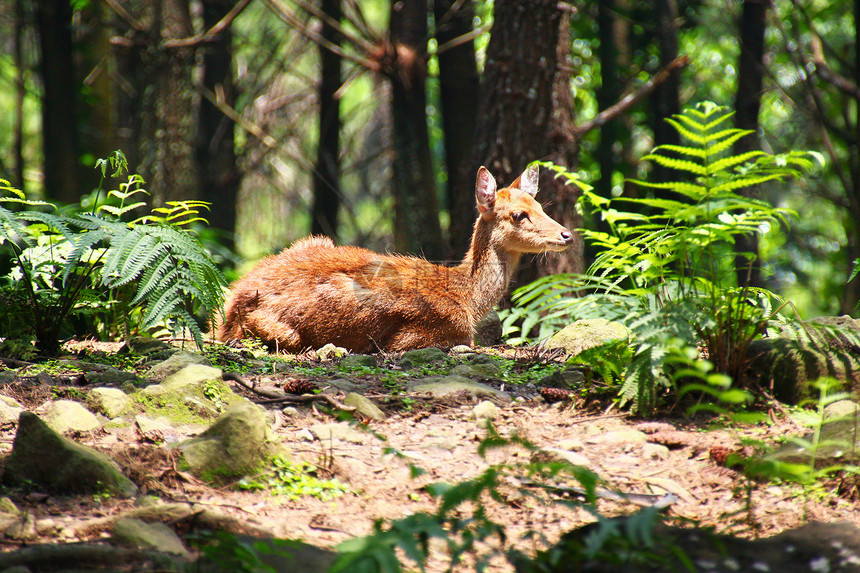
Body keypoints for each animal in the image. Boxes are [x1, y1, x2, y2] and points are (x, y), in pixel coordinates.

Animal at [217, 164, 572, 354]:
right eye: (518, 215)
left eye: (540, 207)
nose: (566, 234)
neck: (467, 297)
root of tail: (231, 304)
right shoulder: (433, 335)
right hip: (284, 330)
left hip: (314, 240)